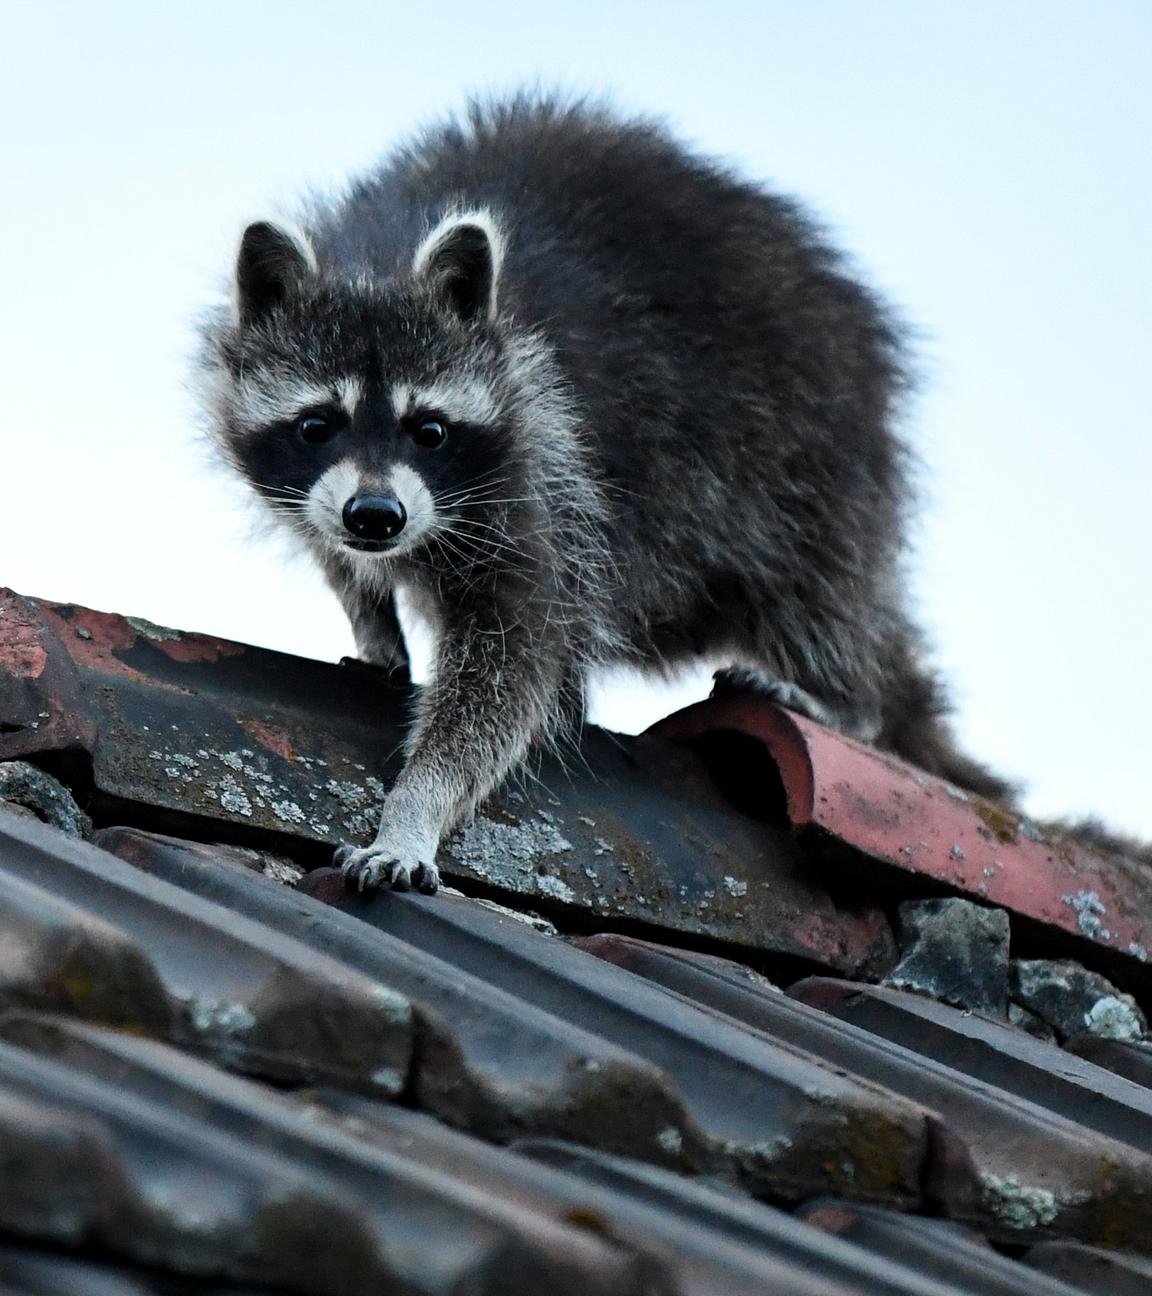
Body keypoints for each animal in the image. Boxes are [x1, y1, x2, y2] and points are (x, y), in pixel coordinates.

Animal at [199, 95, 1005, 896]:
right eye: (316, 426)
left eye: (429, 430)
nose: (375, 516)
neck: (377, 258)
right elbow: (339, 557)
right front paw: (371, 618)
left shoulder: (542, 473)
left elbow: (509, 671)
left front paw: (415, 806)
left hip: (812, 445)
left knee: (818, 583)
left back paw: (845, 698)